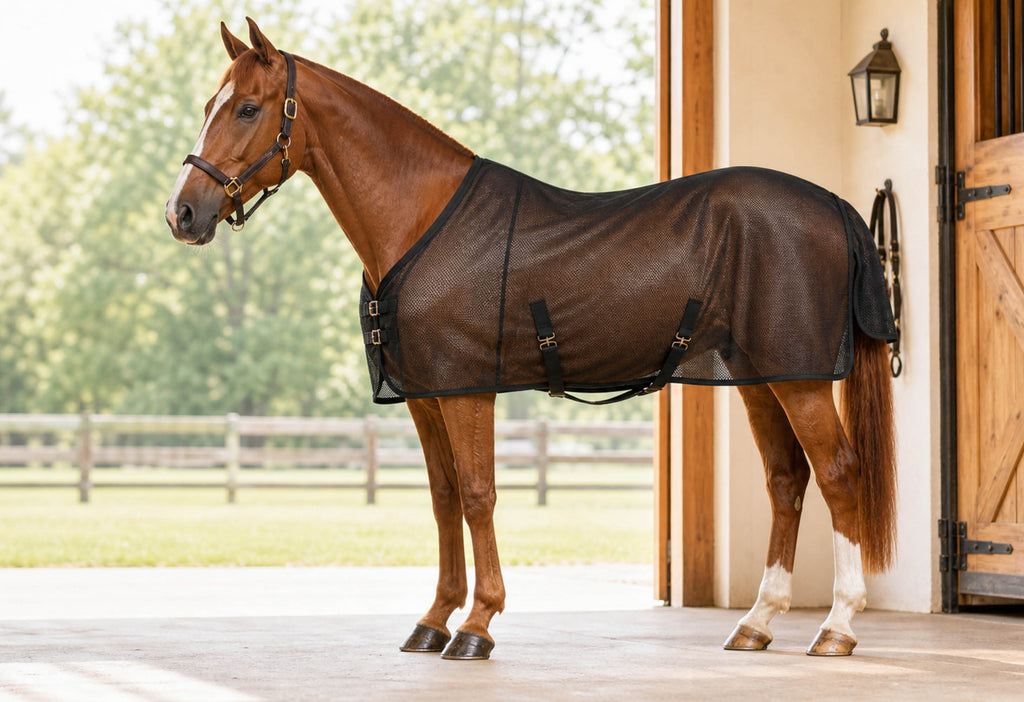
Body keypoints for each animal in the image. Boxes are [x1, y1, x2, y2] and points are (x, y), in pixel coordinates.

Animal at [165, 18, 897, 660]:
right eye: (210, 105)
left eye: (248, 108)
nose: (183, 212)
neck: (420, 218)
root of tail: (835, 206)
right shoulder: (426, 395)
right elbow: (444, 499)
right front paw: (434, 620)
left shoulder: (467, 392)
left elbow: (478, 495)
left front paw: (477, 625)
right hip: (761, 378)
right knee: (786, 479)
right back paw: (757, 622)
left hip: (800, 379)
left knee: (838, 474)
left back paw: (837, 627)